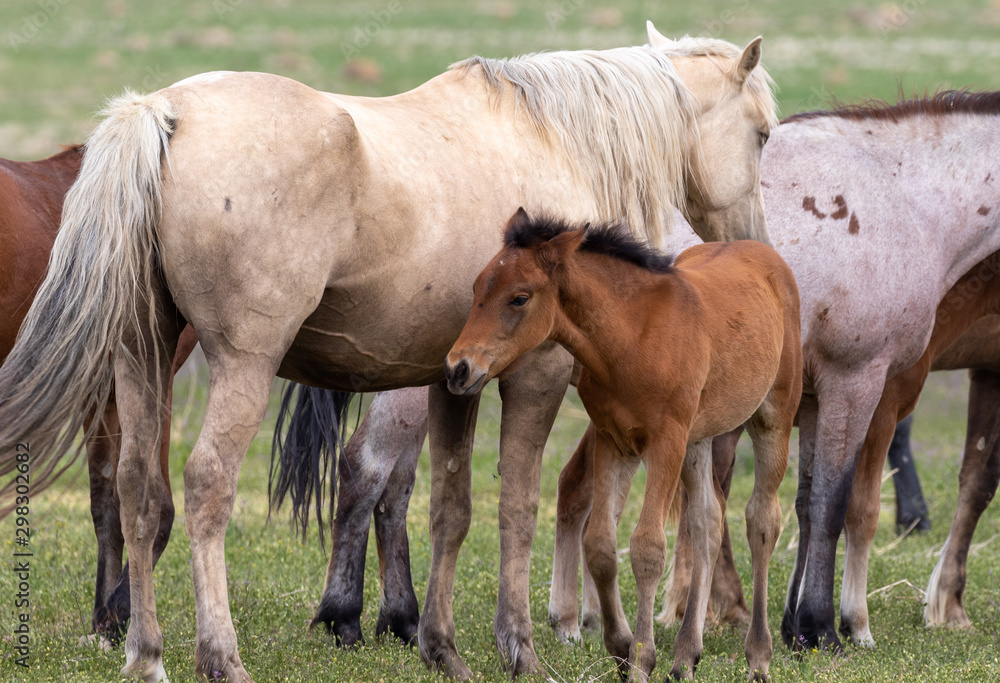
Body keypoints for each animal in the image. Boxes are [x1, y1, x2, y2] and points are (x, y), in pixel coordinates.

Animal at [0, 146, 197, 648]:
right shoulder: (141, 379)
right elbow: (138, 502)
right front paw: (116, 616)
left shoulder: (109, 388)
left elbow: (113, 502)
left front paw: (109, 620)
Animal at [444, 211, 796, 680]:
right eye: (477, 287)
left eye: (519, 298)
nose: (458, 368)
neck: (633, 335)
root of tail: (761, 252)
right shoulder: (614, 439)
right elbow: (600, 546)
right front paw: (620, 646)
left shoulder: (665, 442)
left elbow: (647, 548)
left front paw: (642, 659)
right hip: (699, 437)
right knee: (707, 519)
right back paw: (686, 655)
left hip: (772, 417)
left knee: (761, 521)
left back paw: (758, 656)